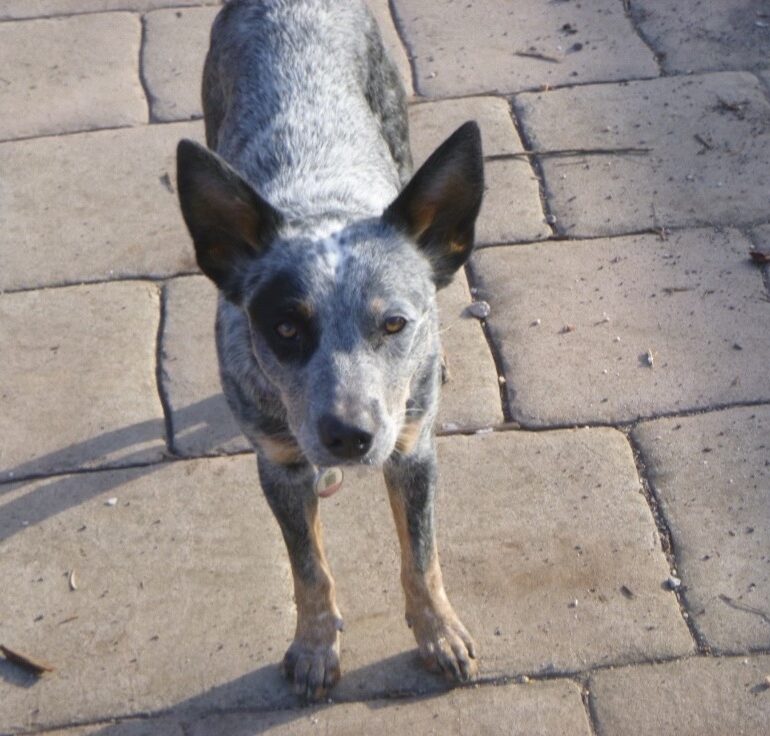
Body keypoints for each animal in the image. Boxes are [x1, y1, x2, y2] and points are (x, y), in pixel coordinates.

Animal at [177, 0, 484, 700]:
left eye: (395, 324)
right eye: (286, 329)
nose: (348, 436)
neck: (322, 206)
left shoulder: (412, 452)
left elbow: (421, 557)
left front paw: (439, 633)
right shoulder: (280, 466)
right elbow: (309, 569)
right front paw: (316, 647)